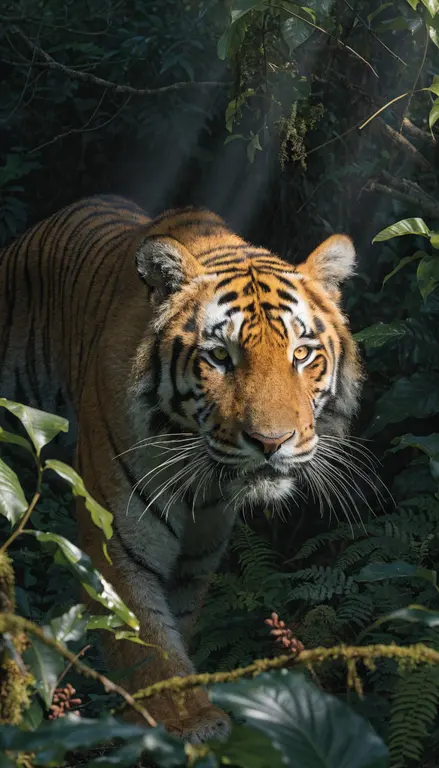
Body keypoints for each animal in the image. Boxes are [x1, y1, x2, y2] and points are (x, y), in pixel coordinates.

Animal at [0, 195, 361, 742]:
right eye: (219, 357)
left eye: (301, 354)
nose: (272, 442)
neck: (206, 477)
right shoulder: (117, 536)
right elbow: (145, 637)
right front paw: (183, 720)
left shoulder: (202, 550)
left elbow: (179, 620)